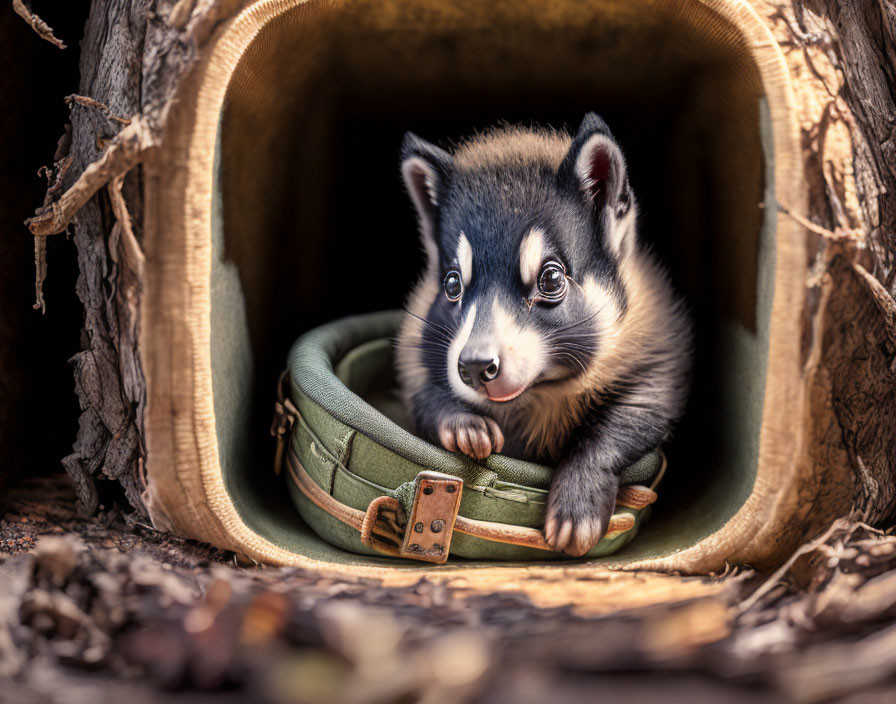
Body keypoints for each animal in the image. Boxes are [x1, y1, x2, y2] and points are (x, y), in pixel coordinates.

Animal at [394, 114, 692, 556]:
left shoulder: (656, 340)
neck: (542, 387)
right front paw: (460, 420)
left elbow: (638, 409)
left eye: (550, 278)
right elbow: (420, 388)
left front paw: (578, 497)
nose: (475, 367)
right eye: (451, 284)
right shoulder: (417, 341)